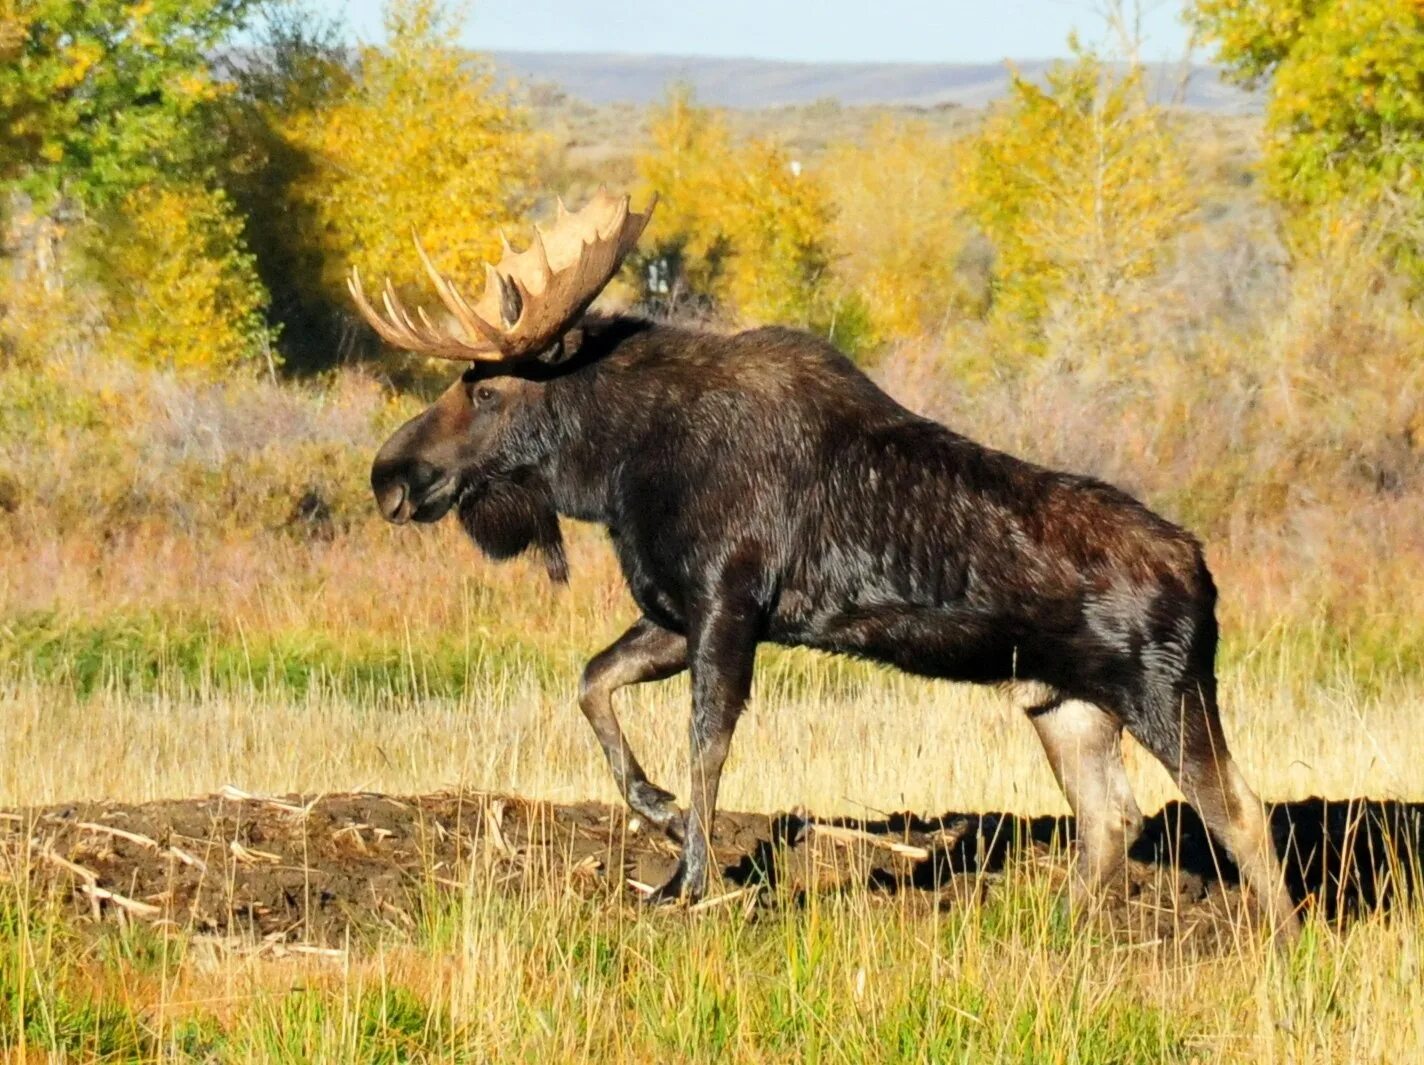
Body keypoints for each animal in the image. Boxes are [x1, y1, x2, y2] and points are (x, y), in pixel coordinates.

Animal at [356, 190, 1304, 939]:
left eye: (487, 389)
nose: (388, 475)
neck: (619, 468)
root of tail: (1204, 570)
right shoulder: (674, 610)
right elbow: (593, 684)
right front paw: (657, 813)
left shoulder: (727, 602)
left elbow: (707, 744)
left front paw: (688, 880)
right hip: (1061, 701)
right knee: (1110, 819)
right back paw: (1057, 934)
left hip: (1168, 691)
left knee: (1239, 810)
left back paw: (1285, 945)